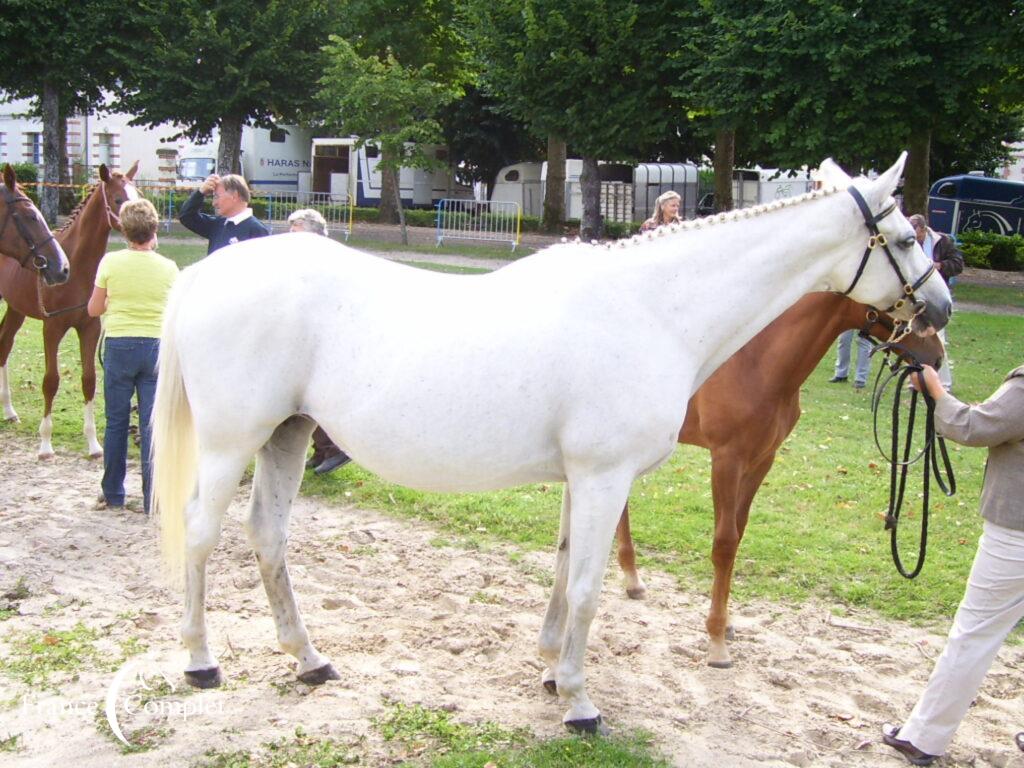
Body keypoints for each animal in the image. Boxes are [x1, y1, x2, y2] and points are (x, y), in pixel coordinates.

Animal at [0, 162, 139, 456]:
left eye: (138, 194)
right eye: (118, 199)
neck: (77, 266)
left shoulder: (90, 328)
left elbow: (89, 380)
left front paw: (94, 444)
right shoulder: (52, 327)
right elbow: (50, 381)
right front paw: (45, 444)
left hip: (17, 308)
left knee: (4, 344)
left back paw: (9, 411)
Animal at [610, 290, 946, 671]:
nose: (936, 357)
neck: (758, 360)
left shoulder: (761, 461)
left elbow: (737, 536)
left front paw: (726, 623)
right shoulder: (727, 460)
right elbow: (724, 544)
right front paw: (716, 642)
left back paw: (632, 580)